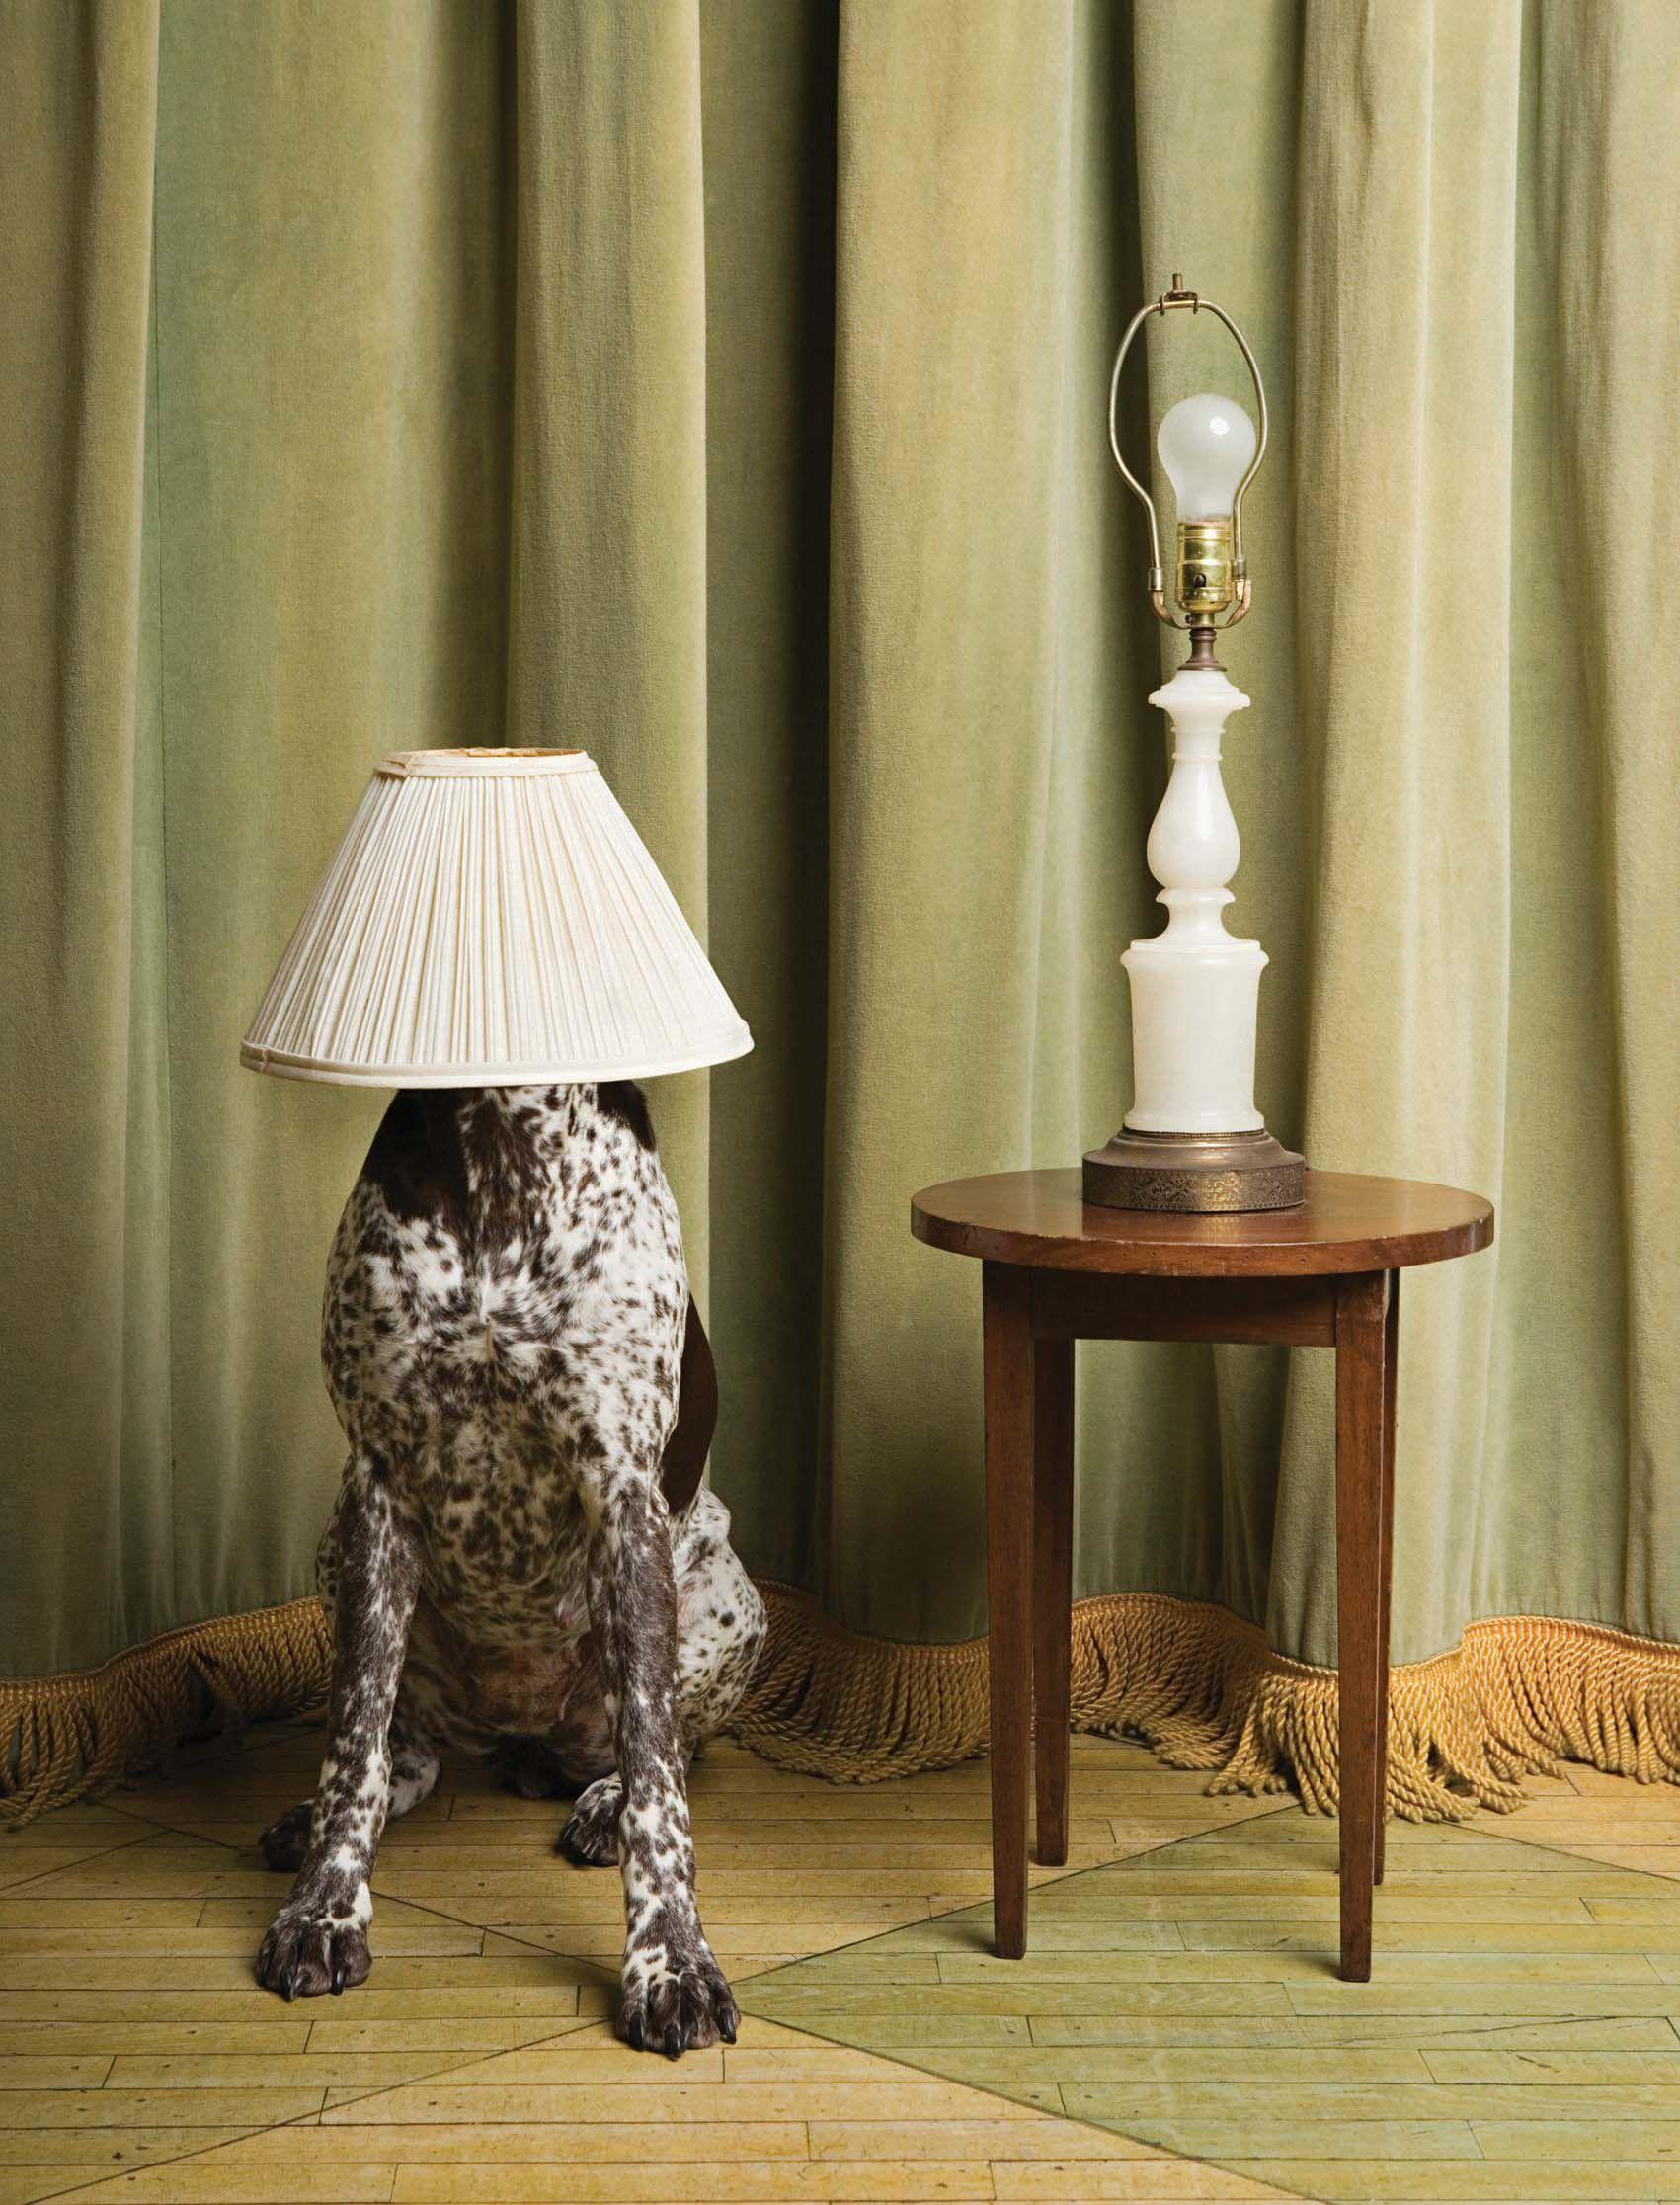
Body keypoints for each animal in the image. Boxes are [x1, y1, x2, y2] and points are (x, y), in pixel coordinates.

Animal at [255, 1080, 766, 2057]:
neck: (504, 1139)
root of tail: (523, 1739)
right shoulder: (377, 1481)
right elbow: (352, 1743)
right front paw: (324, 1909)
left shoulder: (624, 1492)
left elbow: (658, 1771)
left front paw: (670, 1963)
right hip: (337, 1549)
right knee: (404, 1752)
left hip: (728, 1588)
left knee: (670, 1745)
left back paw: (601, 1804)